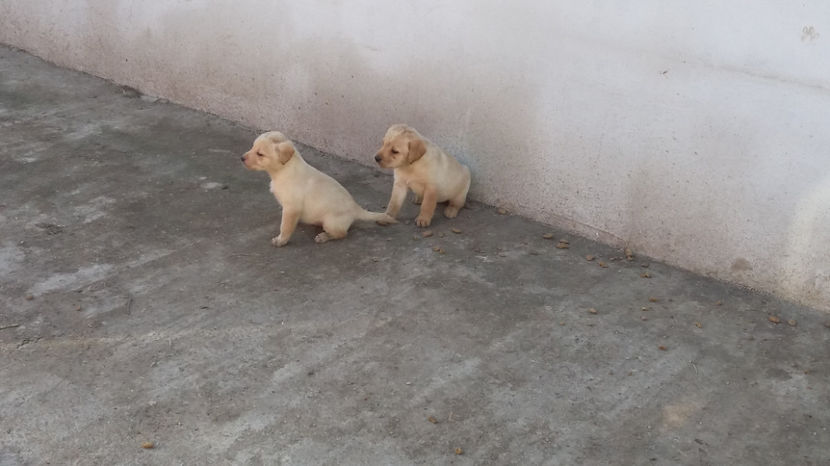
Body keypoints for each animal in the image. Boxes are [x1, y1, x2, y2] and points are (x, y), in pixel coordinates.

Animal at [242, 131, 396, 246]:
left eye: (260, 154)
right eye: (252, 147)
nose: (242, 158)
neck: (284, 170)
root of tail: (356, 209)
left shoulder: (292, 207)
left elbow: (285, 226)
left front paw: (281, 240)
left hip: (330, 222)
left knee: (342, 234)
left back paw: (324, 237)